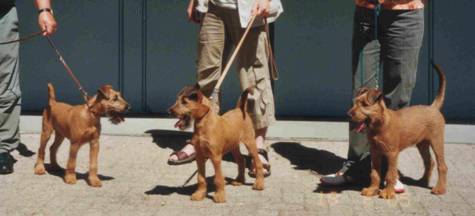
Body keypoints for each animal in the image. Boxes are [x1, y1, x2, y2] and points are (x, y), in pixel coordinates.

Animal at [348, 62, 448, 199]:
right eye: (355, 103)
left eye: (364, 104)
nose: (348, 114)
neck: (380, 125)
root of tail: (433, 107)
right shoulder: (375, 152)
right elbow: (375, 173)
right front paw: (372, 189)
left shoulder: (392, 153)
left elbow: (390, 174)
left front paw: (388, 192)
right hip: (422, 144)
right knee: (429, 162)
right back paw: (423, 181)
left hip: (436, 141)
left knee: (442, 165)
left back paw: (440, 188)